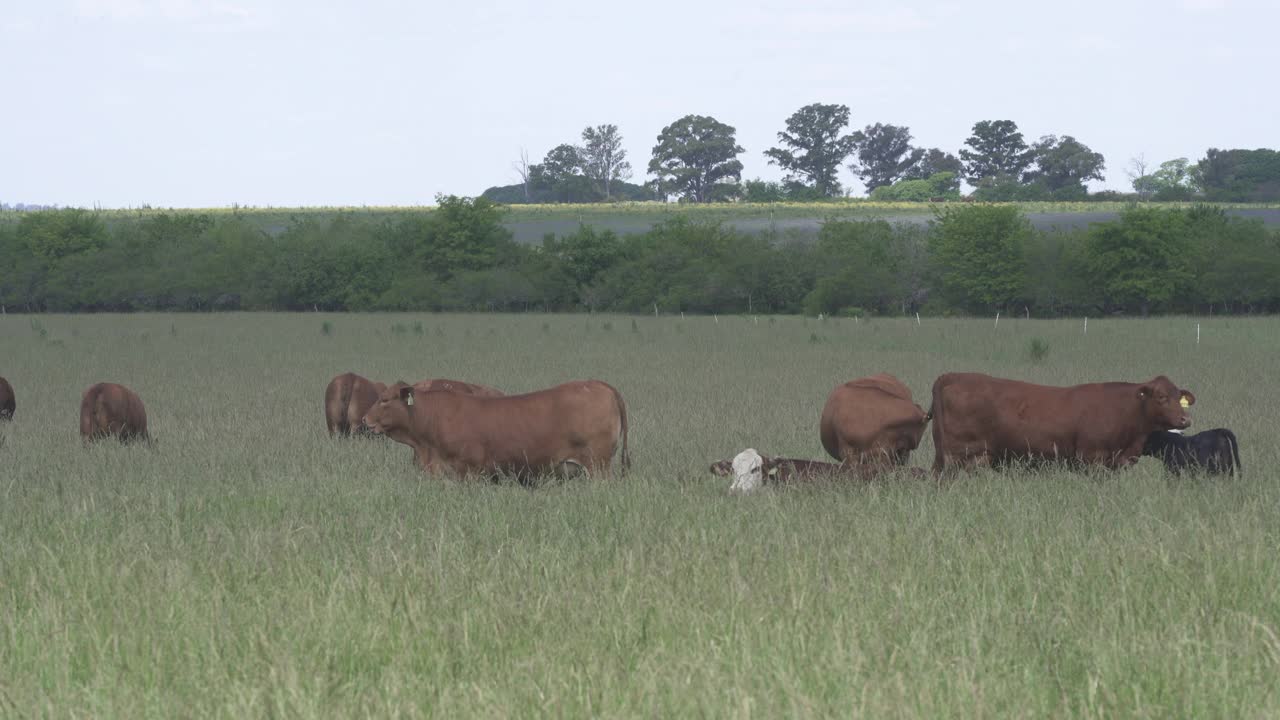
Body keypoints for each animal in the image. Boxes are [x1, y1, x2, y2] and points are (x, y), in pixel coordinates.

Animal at [931, 368, 1187, 471]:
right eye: (1162, 397)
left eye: (1179, 397)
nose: (1186, 419)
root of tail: (952, 376)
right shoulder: (1092, 460)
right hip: (957, 457)